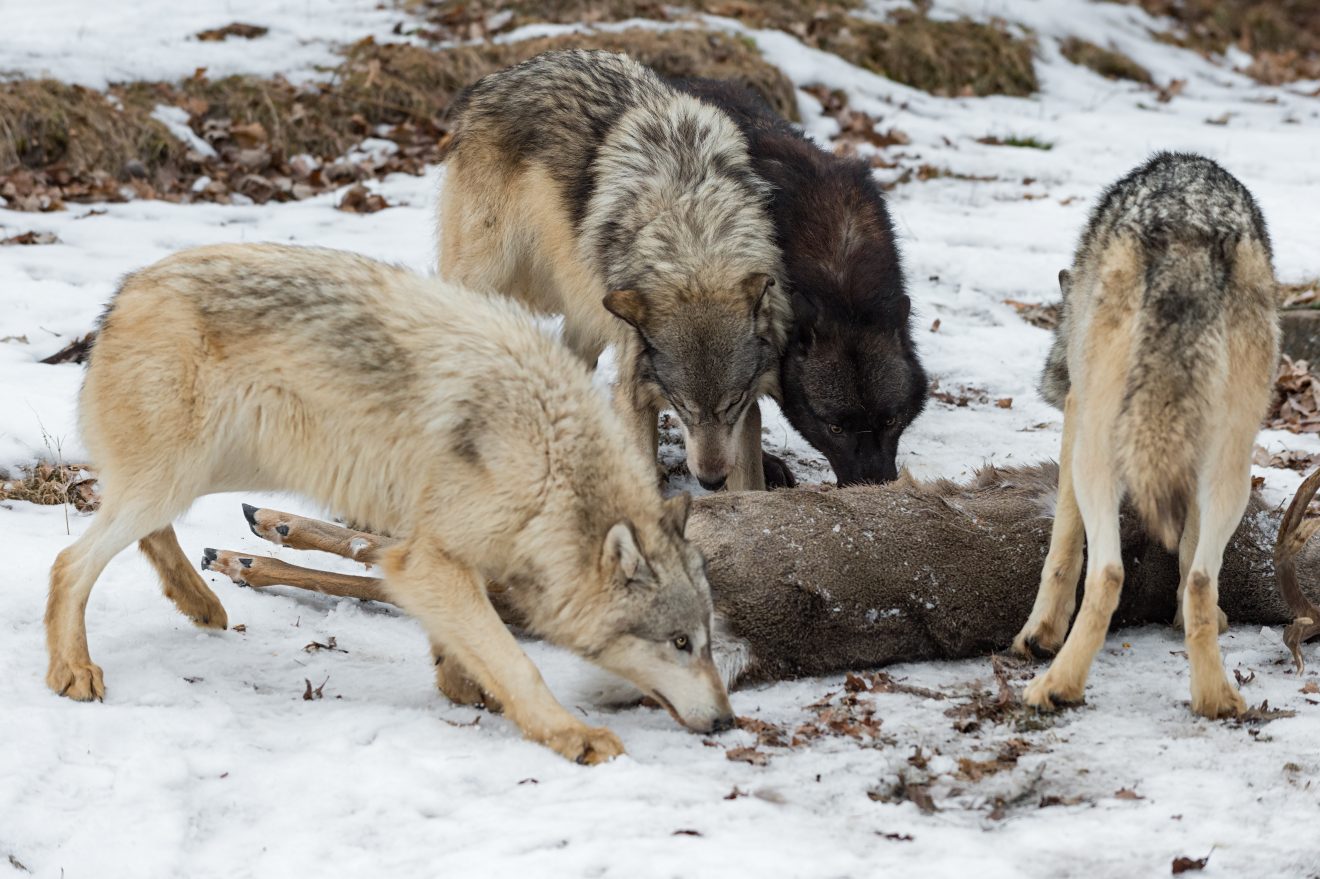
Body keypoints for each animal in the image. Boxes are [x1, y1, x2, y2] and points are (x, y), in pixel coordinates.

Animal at [43, 241, 744, 760]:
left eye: (708, 641)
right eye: (680, 643)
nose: (728, 722)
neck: (552, 463)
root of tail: (126, 289)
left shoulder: (441, 553)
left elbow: (462, 640)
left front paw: (461, 685)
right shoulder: (428, 560)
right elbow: (518, 661)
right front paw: (571, 735)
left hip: (214, 469)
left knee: (140, 527)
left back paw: (202, 604)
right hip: (181, 473)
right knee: (71, 562)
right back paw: (74, 671)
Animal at [438, 49, 786, 493]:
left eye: (731, 405)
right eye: (683, 407)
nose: (709, 483)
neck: (693, 233)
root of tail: (494, 79)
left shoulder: (748, 402)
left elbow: (749, 481)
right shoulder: (635, 386)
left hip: (588, 314)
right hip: (488, 276)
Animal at [1008, 150, 1277, 717]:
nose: (1048, 380)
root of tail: (1190, 234)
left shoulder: (1077, 419)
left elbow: (1063, 549)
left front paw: (1039, 635)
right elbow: (1189, 557)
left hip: (1099, 451)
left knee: (1108, 574)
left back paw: (1055, 686)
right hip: (1233, 464)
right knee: (1200, 579)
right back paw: (1216, 697)